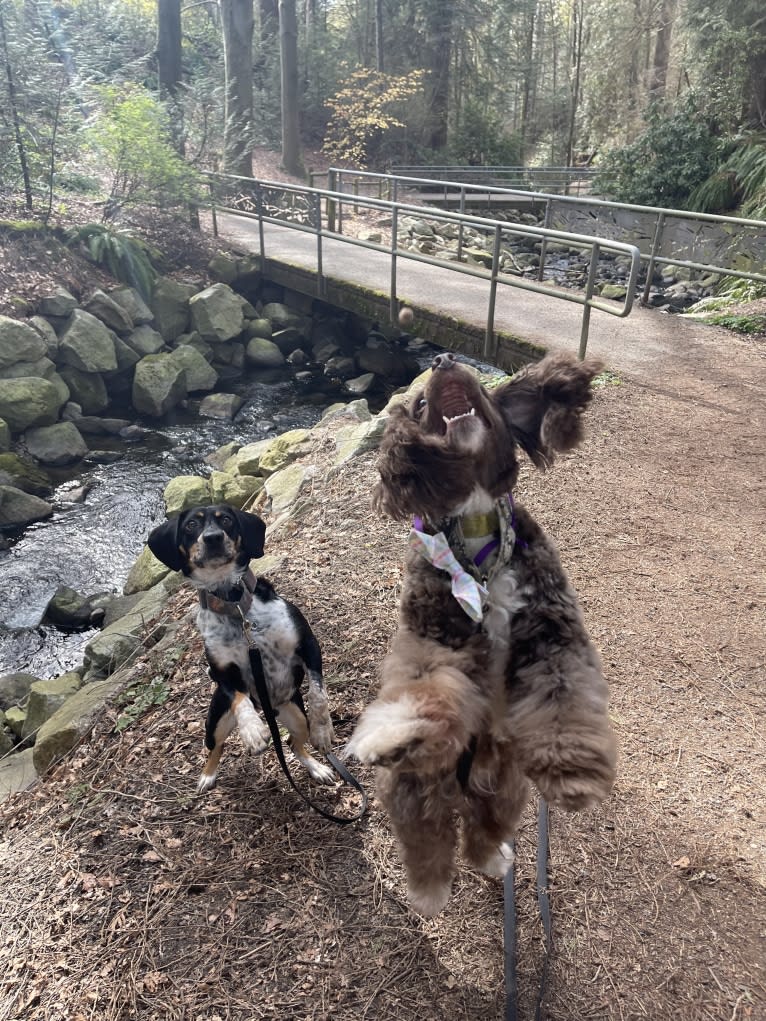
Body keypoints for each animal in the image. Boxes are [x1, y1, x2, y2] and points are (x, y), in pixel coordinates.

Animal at [148, 506, 334, 792]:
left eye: (226, 519)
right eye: (191, 525)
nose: (212, 537)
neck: (234, 604)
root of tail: (270, 709)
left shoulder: (309, 648)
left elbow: (318, 694)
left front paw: (323, 731)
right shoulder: (223, 674)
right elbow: (240, 699)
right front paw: (252, 730)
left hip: (297, 717)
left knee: (294, 743)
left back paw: (317, 768)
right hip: (215, 722)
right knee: (216, 747)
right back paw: (207, 776)